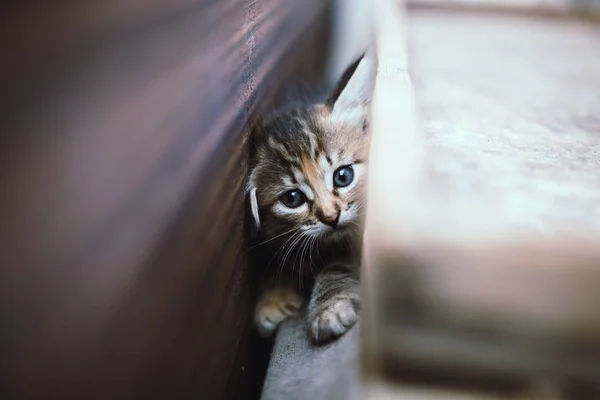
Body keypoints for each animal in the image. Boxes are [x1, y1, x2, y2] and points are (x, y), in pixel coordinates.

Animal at [247, 50, 376, 344]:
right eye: (293, 198)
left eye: (343, 176)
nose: (331, 216)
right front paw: (273, 295)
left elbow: (338, 265)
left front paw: (329, 308)